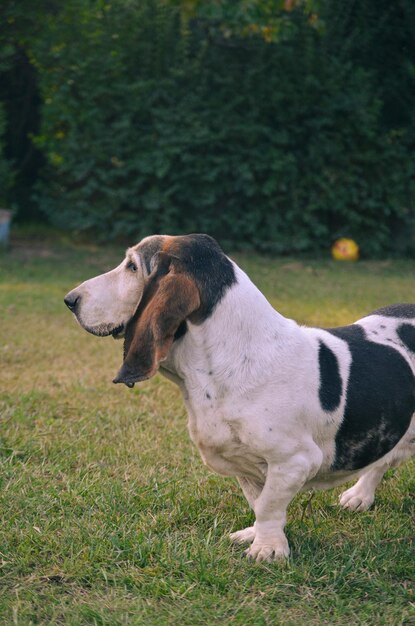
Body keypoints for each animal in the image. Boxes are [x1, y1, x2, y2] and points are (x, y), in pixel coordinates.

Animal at [65, 234, 415, 560]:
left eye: (132, 267)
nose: (70, 300)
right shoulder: (243, 464)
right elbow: (258, 503)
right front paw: (256, 535)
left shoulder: (294, 461)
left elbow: (269, 506)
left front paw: (267, 550)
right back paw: (359, 496)